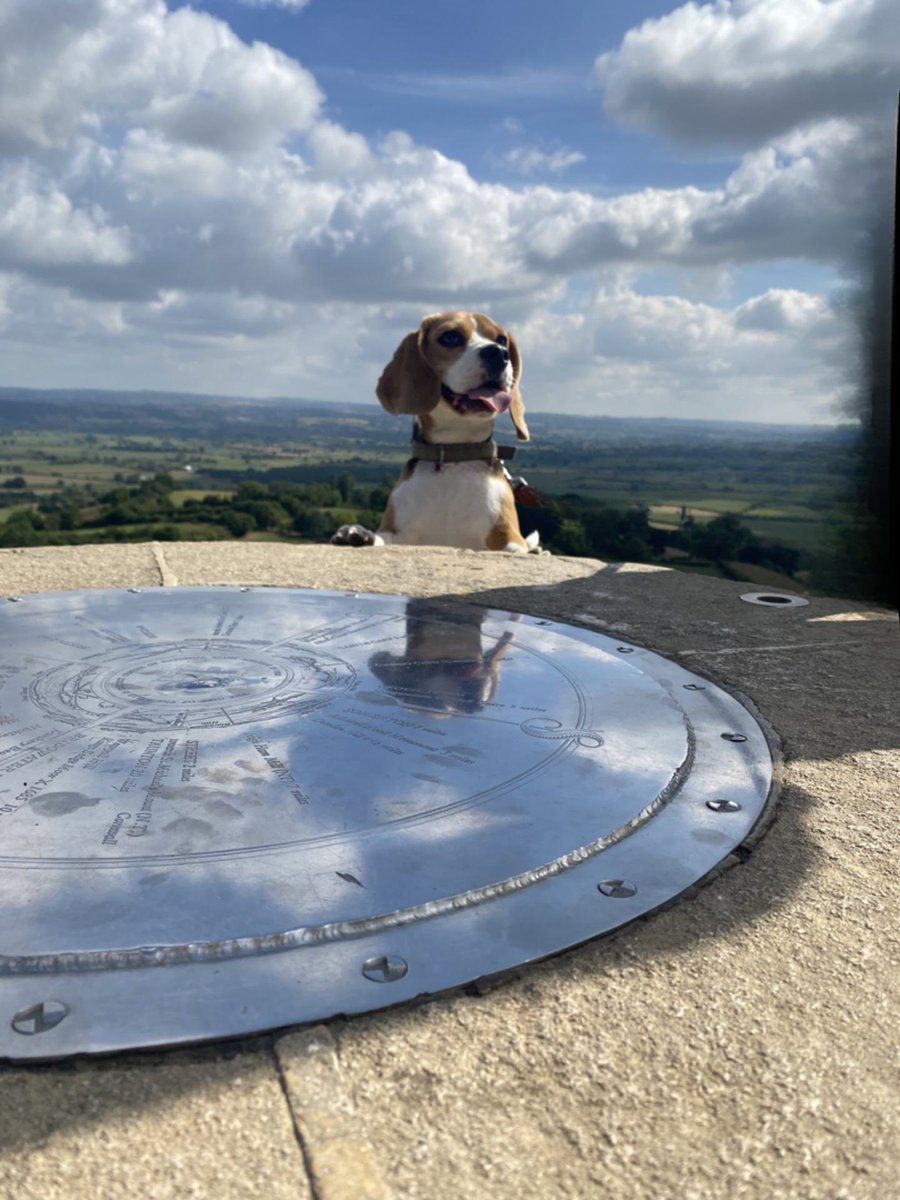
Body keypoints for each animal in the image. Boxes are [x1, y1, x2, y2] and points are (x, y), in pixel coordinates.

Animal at [336, 309, 540, 552]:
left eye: (501, 340)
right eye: (450, 337)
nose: (499, 353)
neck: (452, 457)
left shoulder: (506, 534)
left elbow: (516, 547)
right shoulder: (397, 531)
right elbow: (382, 538)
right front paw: (358, 534)